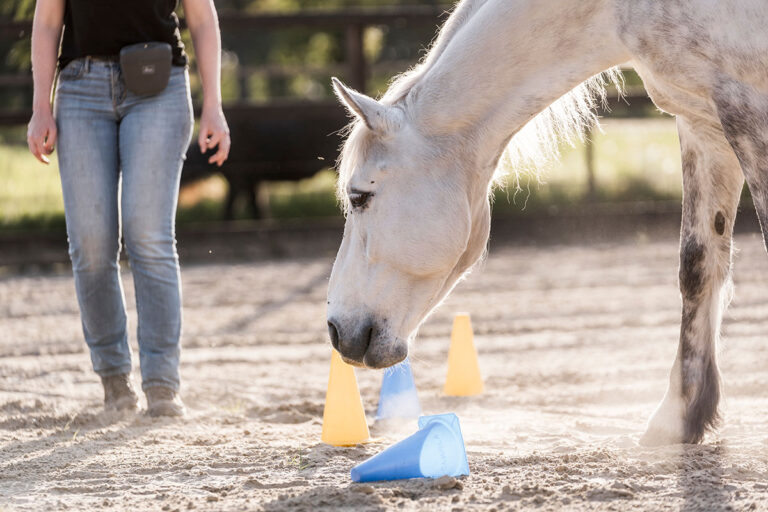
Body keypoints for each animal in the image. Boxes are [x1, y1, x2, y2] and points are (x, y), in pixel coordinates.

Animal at [325, 0, 768, 446]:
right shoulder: (702, 123)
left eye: (359, 196)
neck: (616, 11)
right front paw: (678, 418)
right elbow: (696, 267)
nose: (336, 330)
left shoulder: (748, 110)